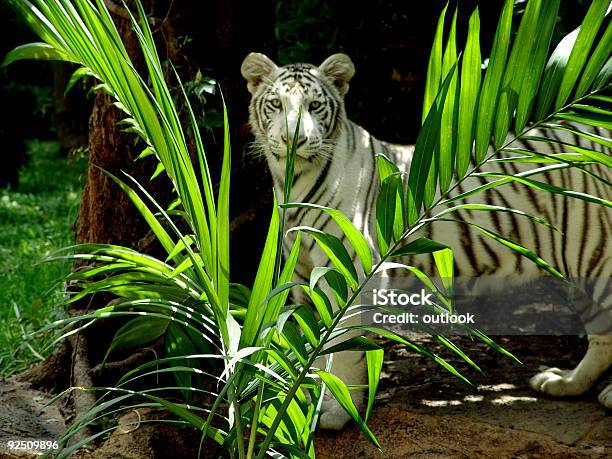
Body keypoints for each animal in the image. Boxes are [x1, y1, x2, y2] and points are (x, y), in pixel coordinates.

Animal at [241, 52, 608, 430]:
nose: (293, 140)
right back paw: (565, 383)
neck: (294, 180)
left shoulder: (352, 272)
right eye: (276, 104)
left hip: (596, 252)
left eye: (314, 106)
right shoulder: (303, 277)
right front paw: (303, 406)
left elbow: (343, 348)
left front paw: (338, 412)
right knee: (601, 336)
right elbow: (313, 345)